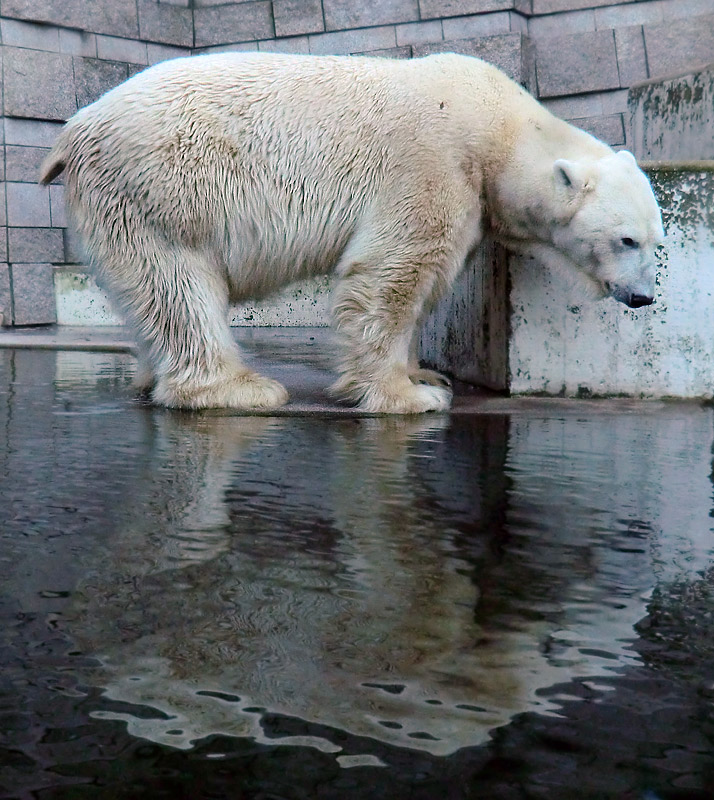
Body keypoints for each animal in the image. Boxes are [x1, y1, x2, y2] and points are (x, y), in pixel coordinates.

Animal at [40, 51, 660, 412]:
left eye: (656, 242)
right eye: (626, 239)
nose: (644, 297)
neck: (497, 127)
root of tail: (74, 128)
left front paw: (425, 374)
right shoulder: (431, 164)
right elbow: (395, 271)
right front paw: (407, 395)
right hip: (164, 187)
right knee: (180, 282)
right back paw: (239, 389)